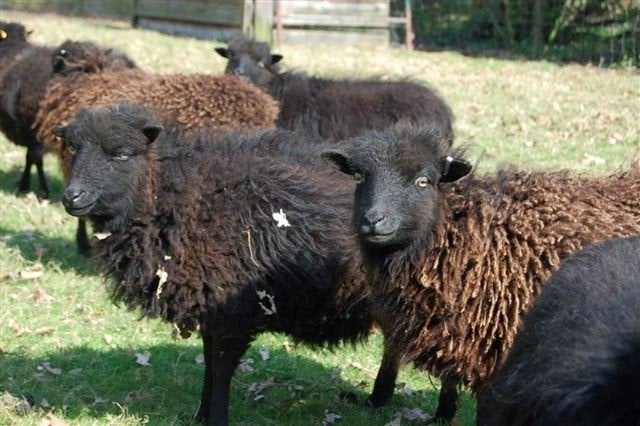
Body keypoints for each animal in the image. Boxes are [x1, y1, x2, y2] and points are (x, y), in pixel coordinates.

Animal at [52, 103, 402, 425]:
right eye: (73, 148)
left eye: (122, 155)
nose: (73, 197)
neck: (178, 197)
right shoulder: (211, 303)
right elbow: (209, 361)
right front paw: (200, 415)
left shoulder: (233, 308)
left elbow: (220, 367)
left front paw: (216, 418)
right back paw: (376, 400)